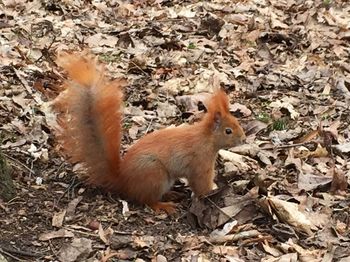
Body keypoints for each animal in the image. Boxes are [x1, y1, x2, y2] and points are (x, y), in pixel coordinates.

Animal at [54, 52, 246, 213]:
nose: (243, 139)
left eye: (237, 123)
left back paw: (171, 195)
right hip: (154, 175)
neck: (206, 138)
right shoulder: (200, 163)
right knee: (147, 200)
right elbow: (200, 184)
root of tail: (124, 181)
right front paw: (211, 192)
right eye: (228, 131)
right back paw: (164, 205)